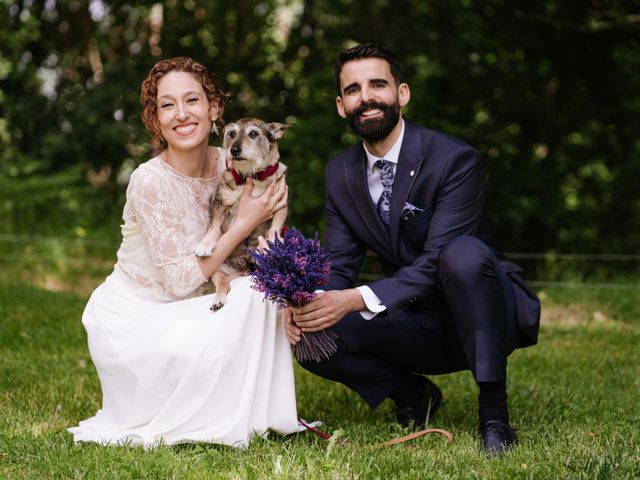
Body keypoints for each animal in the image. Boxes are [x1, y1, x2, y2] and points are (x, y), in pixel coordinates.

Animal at [192, 118, 288, 310]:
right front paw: (205, 245)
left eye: (253, 134)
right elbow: (214, 227)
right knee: (224, 286)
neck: (250, 176)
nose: (234, 150)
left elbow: (275, 226)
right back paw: (218, 300)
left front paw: (272, 243)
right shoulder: (219, 203)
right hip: (219, 272)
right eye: (232, 134)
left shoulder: (281, 203)